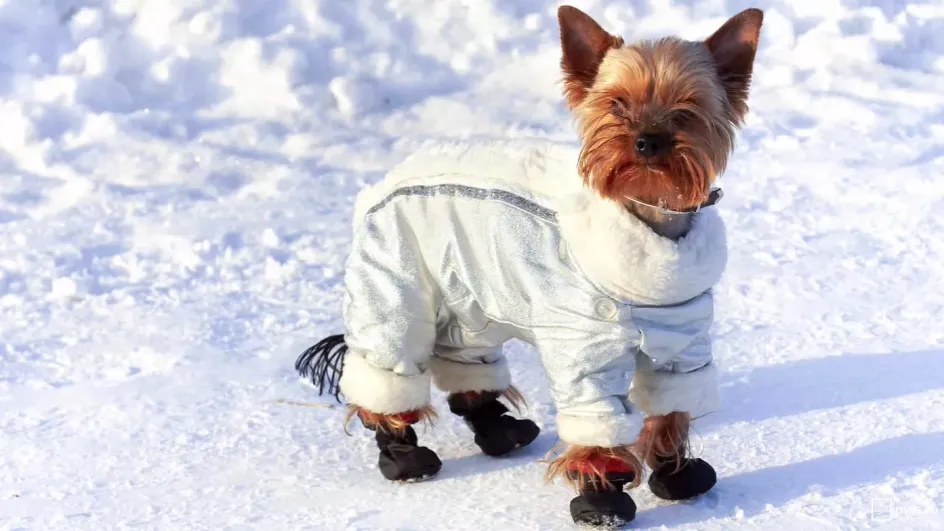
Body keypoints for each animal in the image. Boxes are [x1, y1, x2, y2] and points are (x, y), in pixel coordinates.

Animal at [298, 6, 764, 528]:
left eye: (687, 106)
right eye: (617, 104)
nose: (647, 141)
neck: (651, 226)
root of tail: (388, 178)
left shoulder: (682, 344)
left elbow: (671, 407)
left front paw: (677, 473)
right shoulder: (585, 352)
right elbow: (596, 420)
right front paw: (601, 499)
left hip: (470, 297)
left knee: (466, 361)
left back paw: (498, 429)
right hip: (396, 282)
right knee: (389, 366)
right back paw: (402, 452)